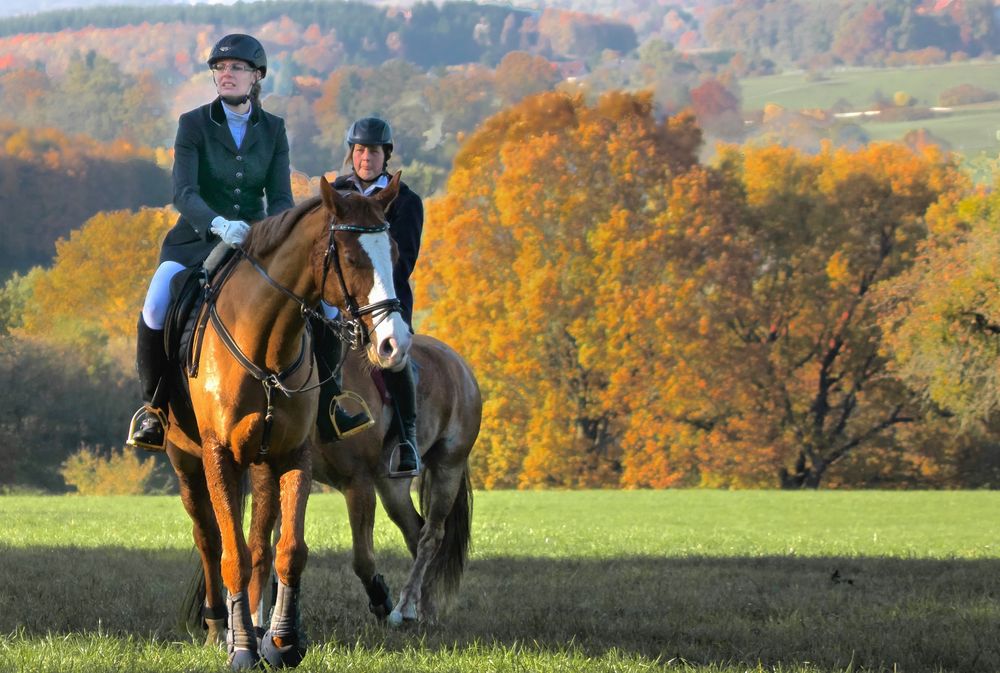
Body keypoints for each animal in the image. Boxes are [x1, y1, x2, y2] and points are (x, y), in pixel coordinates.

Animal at [168, 172, 410, 668]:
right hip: (186, 462)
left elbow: (289, 551)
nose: (395, 344)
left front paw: (281, 642)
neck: (265, 342)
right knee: (209, 538)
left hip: (261, 465)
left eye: (394, 253)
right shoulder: (218, 456)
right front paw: (242, 648)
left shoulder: (292, 454)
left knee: (260, 544)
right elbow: (232, 555)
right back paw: (219, 625)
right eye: (352, 257)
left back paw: (255, 626)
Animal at [312, 332, 484, 624]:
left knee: (431, 536)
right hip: (393, 486)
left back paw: (406, 607)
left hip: (448, 468)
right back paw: (421, 607)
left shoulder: (357, 480)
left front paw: (382, 600)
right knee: (415, 531)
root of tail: (460, 365)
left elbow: (363, 559)